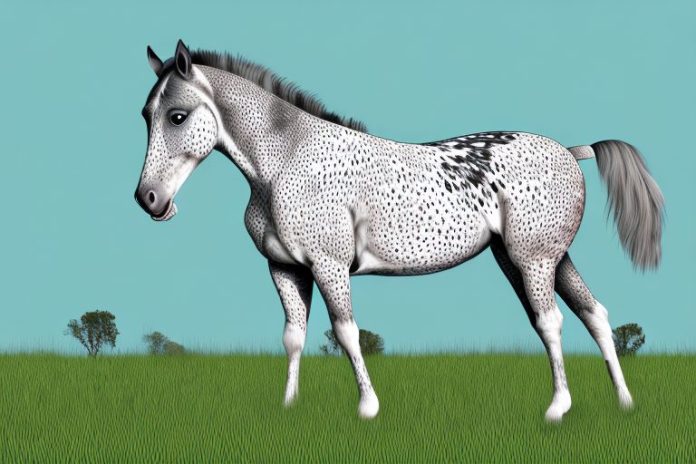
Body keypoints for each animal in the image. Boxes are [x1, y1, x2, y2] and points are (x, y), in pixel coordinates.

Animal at [135, 40, 664, 422]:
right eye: (145, 116)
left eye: (177, 116)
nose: (149, 200)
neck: (285, 163)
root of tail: (572, 151)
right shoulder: (285, 269)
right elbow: (293, 337)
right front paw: (288, 406)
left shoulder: (330, 267)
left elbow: (346, 332)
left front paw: (368, 408)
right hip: (535, 258)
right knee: (593, 314)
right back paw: (624, 403)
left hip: (533, 259)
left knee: (551, 322)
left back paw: (558, 408)